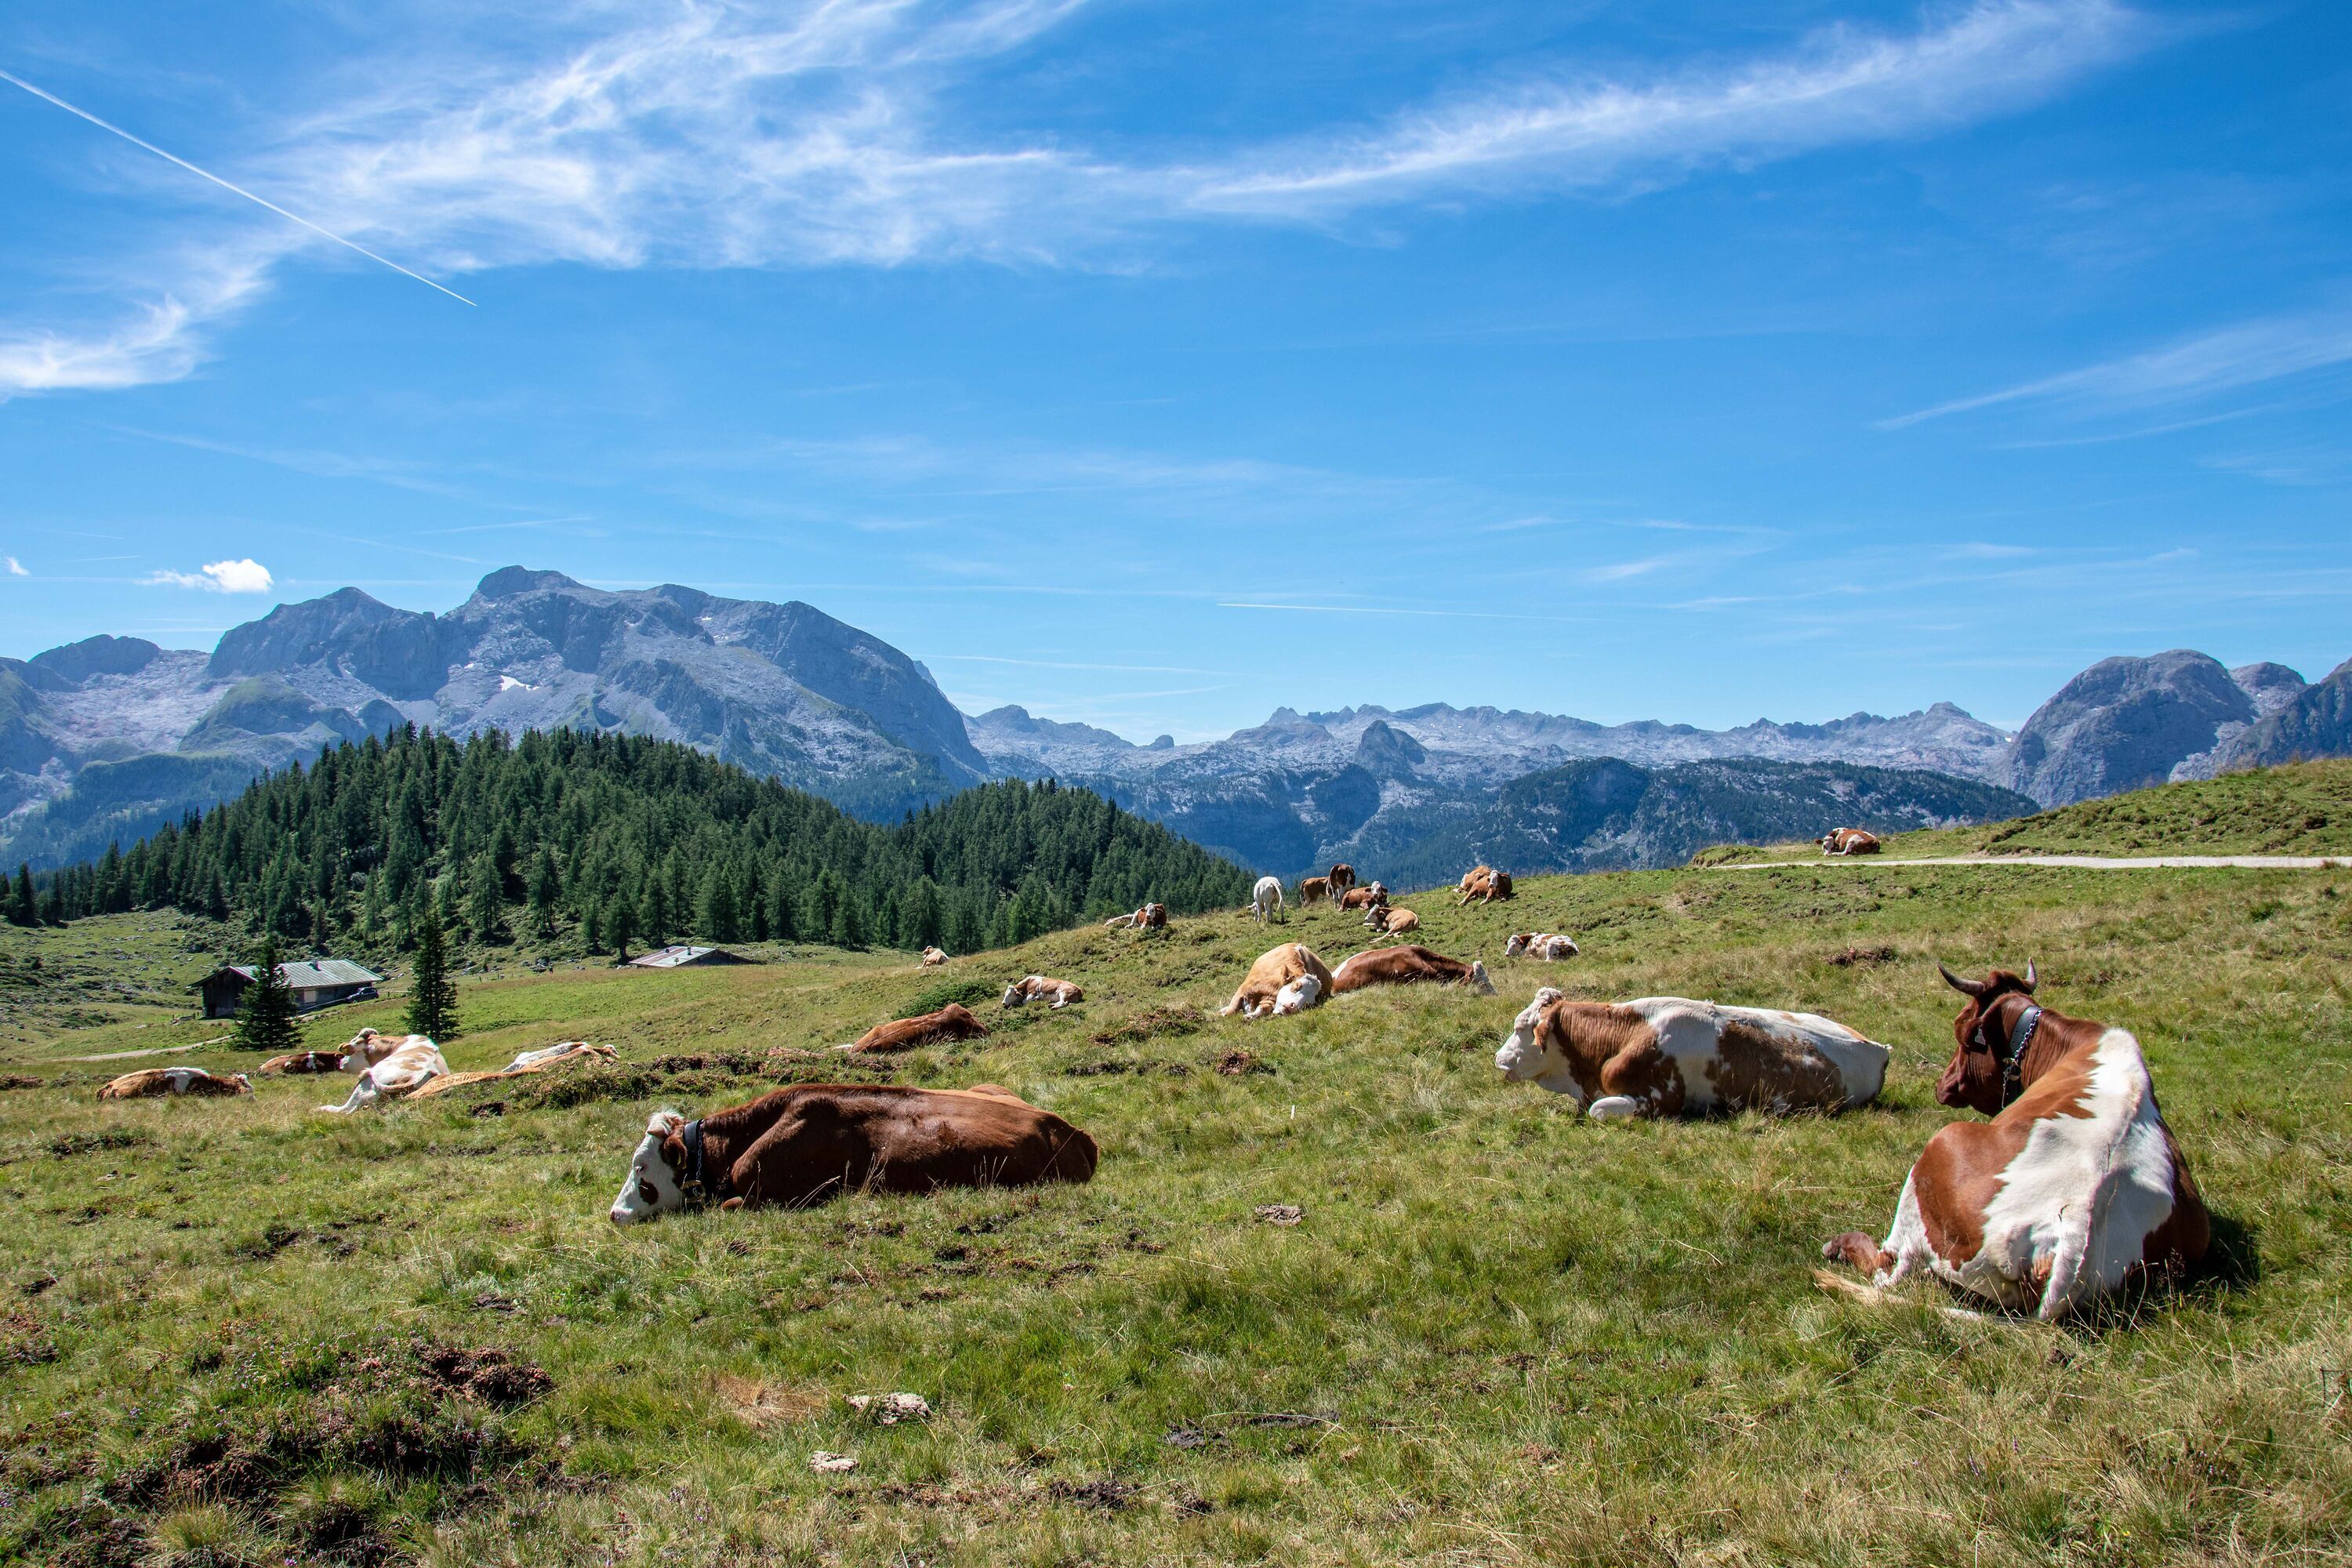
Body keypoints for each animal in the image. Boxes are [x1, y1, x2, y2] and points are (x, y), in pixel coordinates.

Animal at [1221, 942, 1337, 1019]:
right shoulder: (1242, 990)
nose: (1292, 1007)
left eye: (1309, 1003)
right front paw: (1223, 1014)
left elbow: (1263, 1009)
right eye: (1296, 986)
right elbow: (1231, 1010)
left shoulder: (1270, 1000)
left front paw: (1250, 1016)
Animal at [1820, 964, 2210, 1320]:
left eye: (1962, 1031)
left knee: (1886, 1266)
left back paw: (1840, 1245)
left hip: (1933, 1163)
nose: (1942, 1085)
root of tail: (2072, 1233)